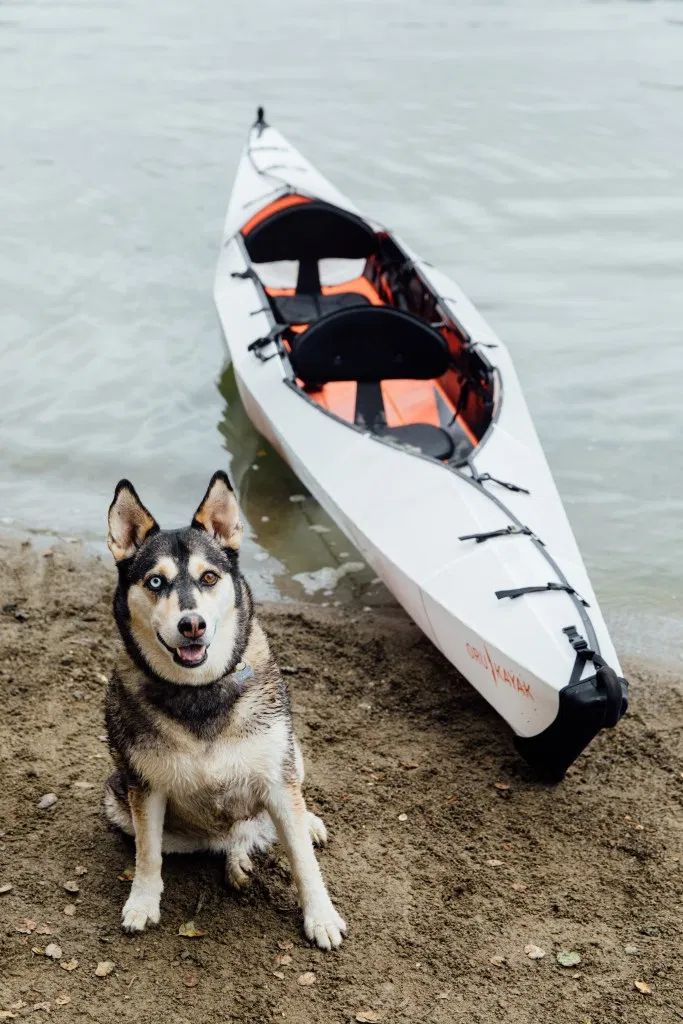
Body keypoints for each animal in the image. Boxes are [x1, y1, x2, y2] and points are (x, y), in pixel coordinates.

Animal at [101, 471, 348, 950]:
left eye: (210, 577)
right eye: (155, 582)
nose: (191, 624)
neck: (199, 692)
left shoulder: (276, 780)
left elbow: (304, 862)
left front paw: (321, 916)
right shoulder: (145, 789)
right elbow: (147, 855)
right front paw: (142, 902)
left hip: (292, 753)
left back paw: (302, 826)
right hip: (118, 798)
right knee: (223, 838)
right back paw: (236, 858)